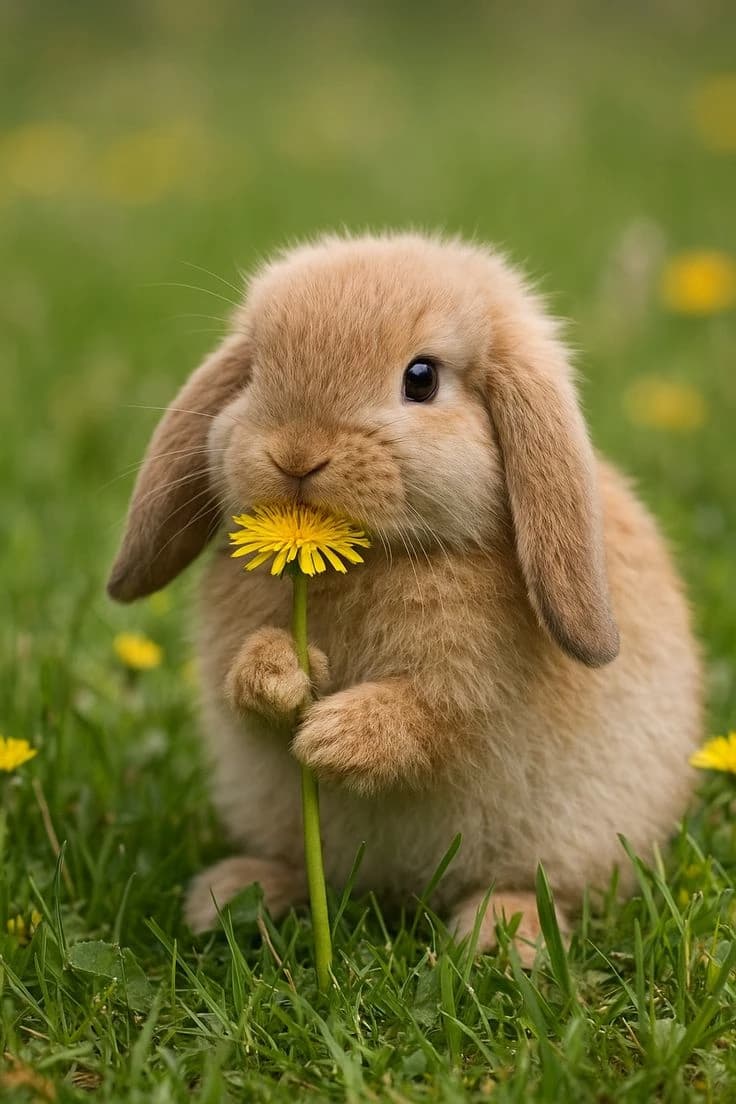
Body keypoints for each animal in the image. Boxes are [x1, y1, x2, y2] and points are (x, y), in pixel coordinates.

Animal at [108, 232, 702, 963]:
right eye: (253, 373)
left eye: (421, 378)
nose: (295, 454)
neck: (374, 560)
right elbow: (246, 690)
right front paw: (283, 677)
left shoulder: (471, 694)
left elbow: (430, 719)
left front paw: (333, 736)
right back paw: (234, 894)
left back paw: (502, 937)